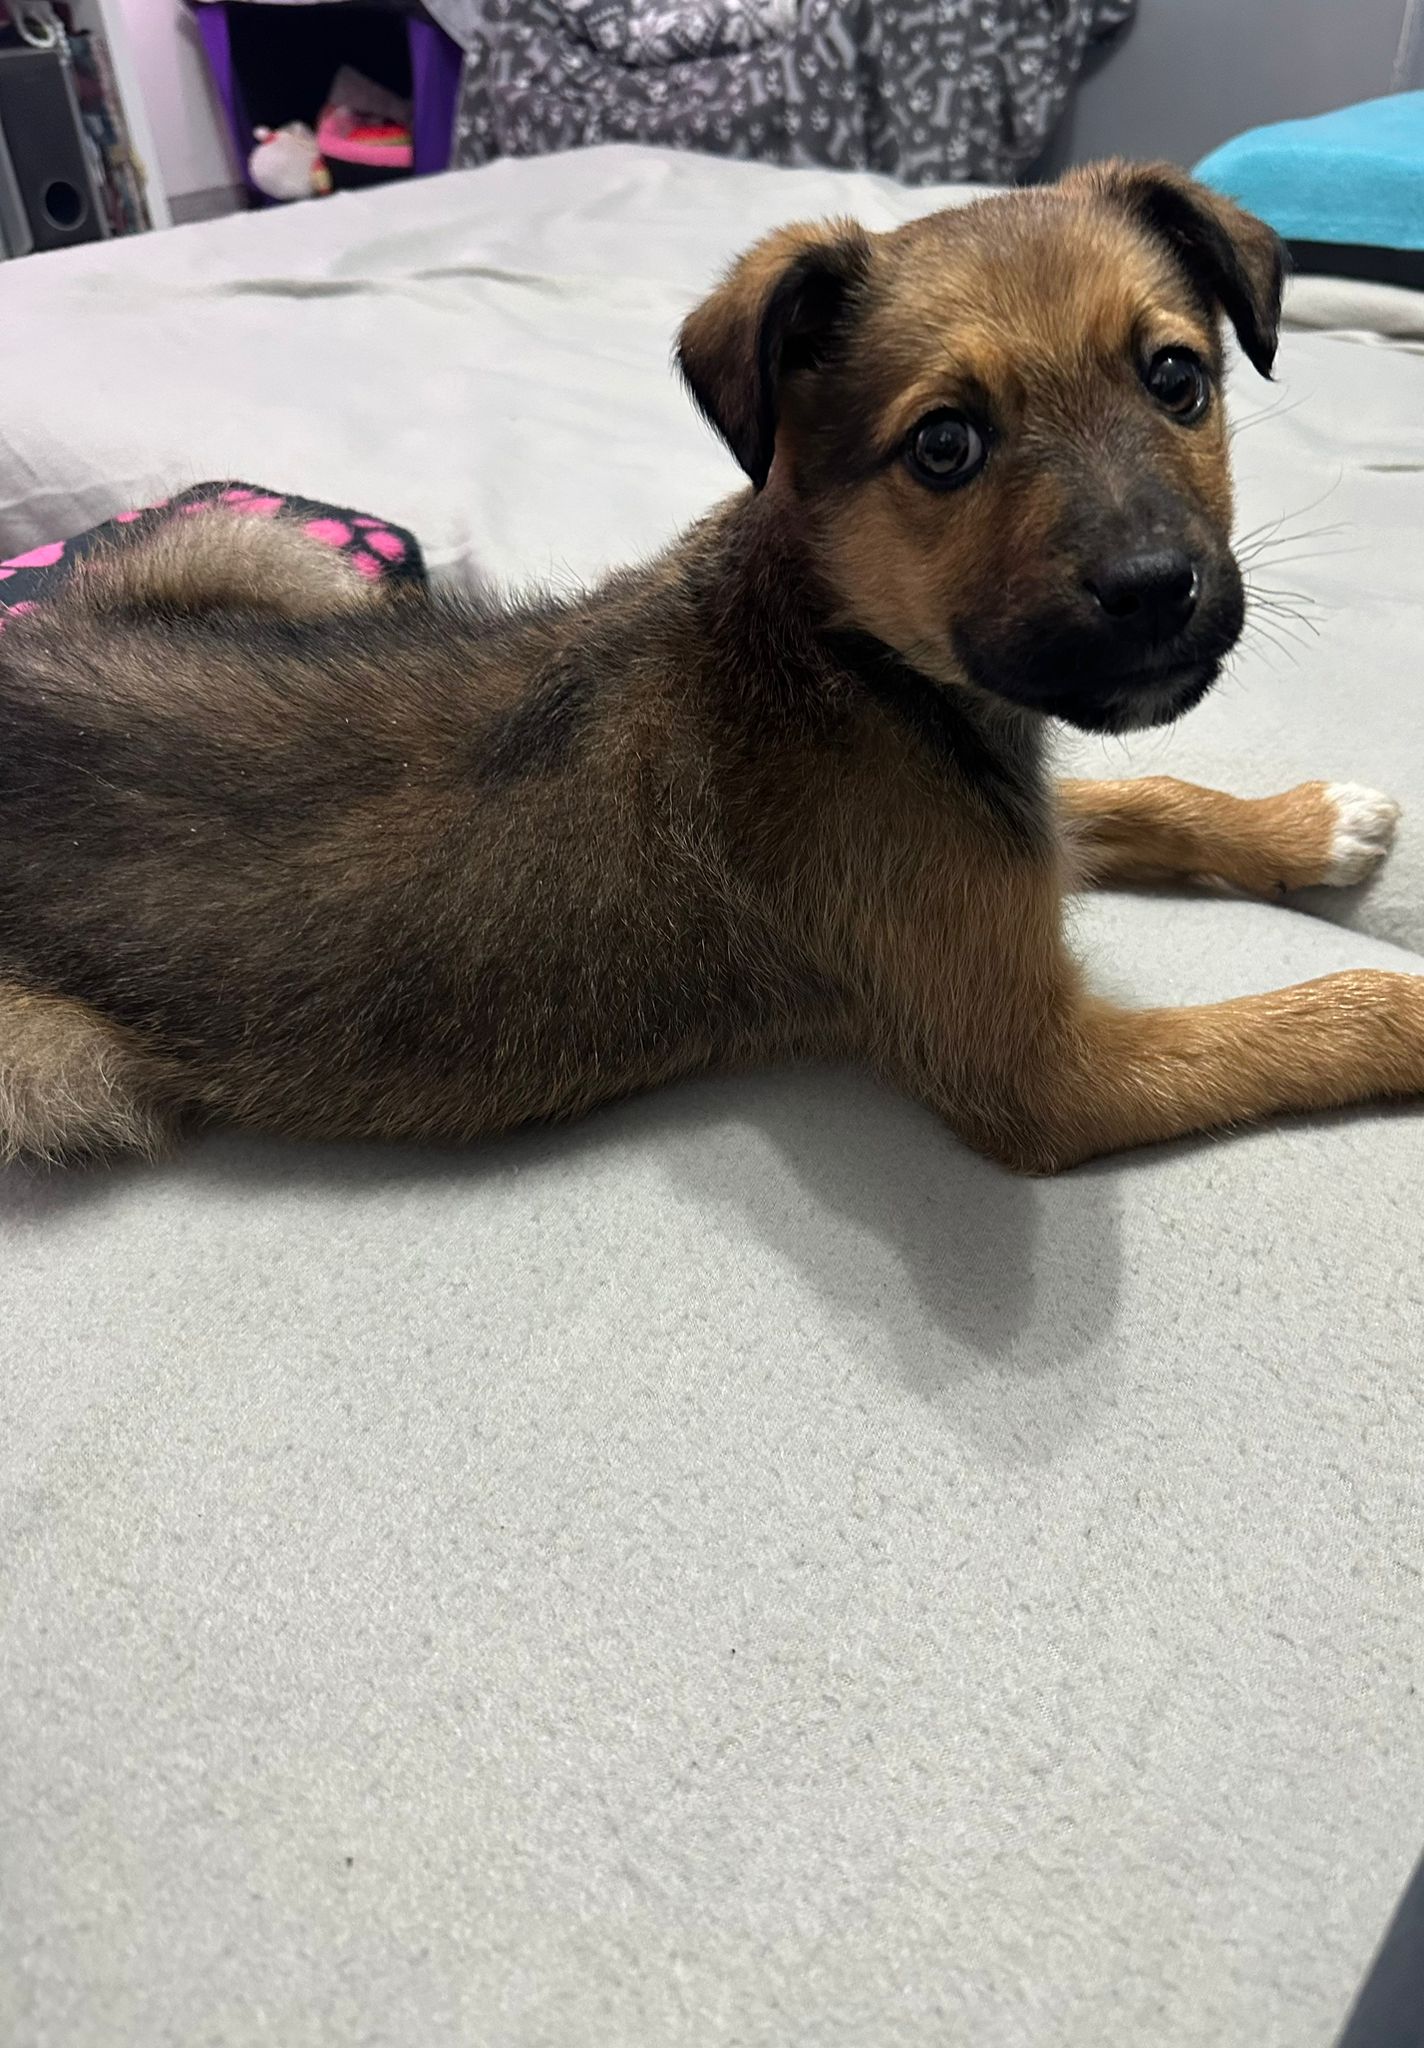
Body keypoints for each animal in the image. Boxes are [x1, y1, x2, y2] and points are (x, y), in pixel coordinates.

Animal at [0, 160, 1414, 1172]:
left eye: (1176, 379)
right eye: (943, 445)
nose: (1155, 592)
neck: (850, 654)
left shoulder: (1021, 827)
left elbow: (1144, 799)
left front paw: (1305, 824)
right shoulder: (1038, 1070)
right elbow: (1313, 1012)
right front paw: (1396, 1004)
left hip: (261, 551)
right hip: (47, 1059)